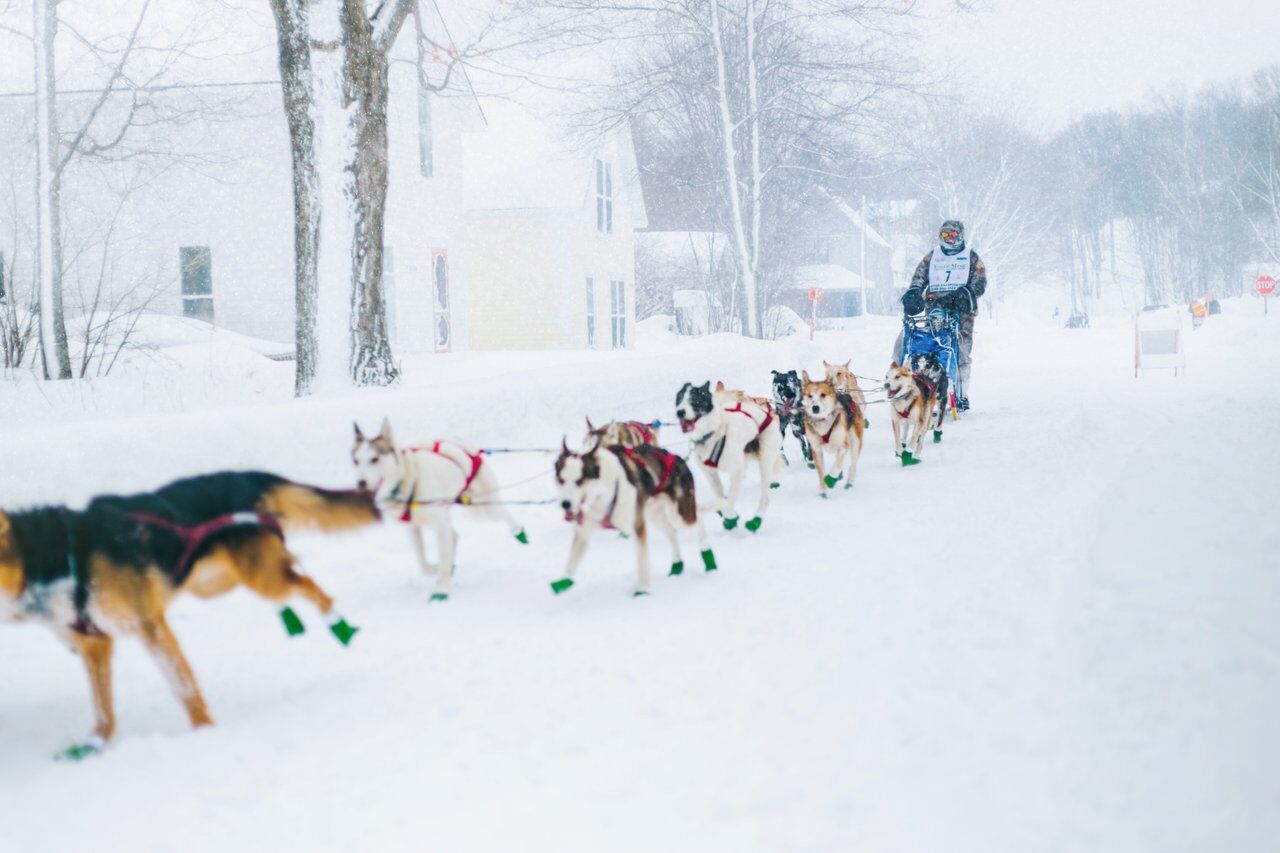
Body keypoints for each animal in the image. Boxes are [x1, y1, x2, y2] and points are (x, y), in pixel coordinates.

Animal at [350, 417, 524, 596]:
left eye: (374, 459)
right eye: (356, 461)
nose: (361, 483)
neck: (408, 481)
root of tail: (462, 444)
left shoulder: (439, 528)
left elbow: (442, 562)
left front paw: (441, 589)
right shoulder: (413, 529)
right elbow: (423, 564)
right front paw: (436, 569)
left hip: (484, 507)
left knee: (503, 513)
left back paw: (518, 531)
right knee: (453, 535)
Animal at [550, 440, 716, 594]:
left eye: (579, 481)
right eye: (561, 480)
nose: (565, 504)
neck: (602, 493)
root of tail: (678, 459)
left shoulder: (637, 526)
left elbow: (642, 560)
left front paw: (642, 589)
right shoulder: (583, 530)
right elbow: (572, 560)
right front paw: (564, 580)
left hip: (679, 514)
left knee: (697, 521)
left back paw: (708, 557)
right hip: (654, 515)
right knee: (672, 532)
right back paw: (677, 564)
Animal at [675, 379, 783, 527]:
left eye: (695, 401)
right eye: (679, 399)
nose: (680, 412)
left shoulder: (736, 470)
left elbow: (729, 501)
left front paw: (729, 515)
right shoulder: (711, 474)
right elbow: (722, 498)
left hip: (764, 461)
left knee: (765, 497)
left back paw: (756, 519)